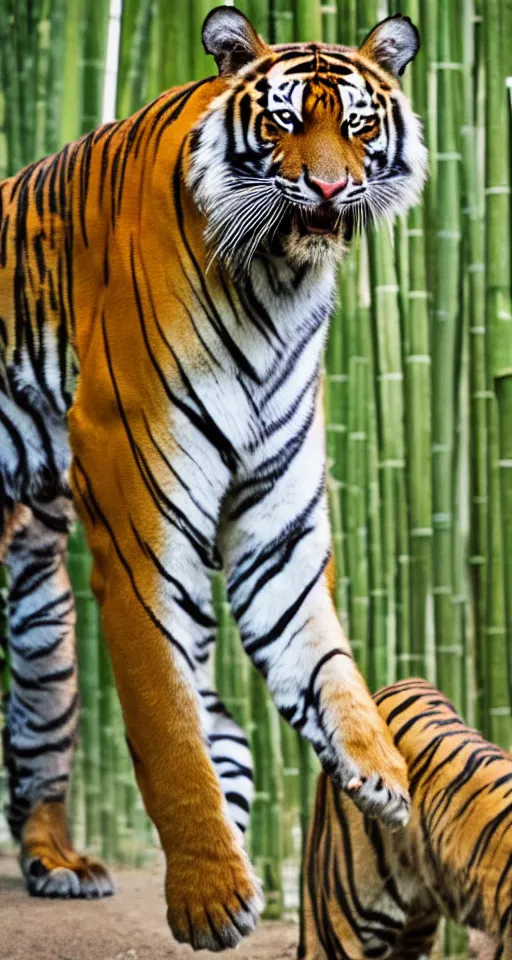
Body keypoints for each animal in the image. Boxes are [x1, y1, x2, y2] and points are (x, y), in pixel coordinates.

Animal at [0, 7, 424, 952]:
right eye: (284, 123)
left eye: (358, 125)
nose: (331, 191)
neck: (280, 288)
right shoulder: (136, 516)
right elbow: (169, 721)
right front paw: (211, 897)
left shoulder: (281, 526)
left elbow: (324, 661)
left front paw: (382, 774)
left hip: (40, 615)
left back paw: (57, 863)